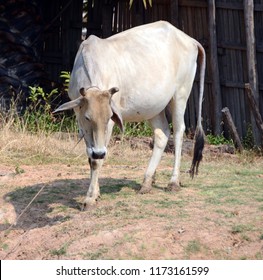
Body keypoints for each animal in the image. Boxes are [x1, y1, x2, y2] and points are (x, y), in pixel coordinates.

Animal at [53, 20, 206, 209]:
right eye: (88, 117)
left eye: (107, 118)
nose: (99, 152)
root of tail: (190, 40)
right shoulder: (80, 119)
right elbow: (91, 157)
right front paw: (96, 193)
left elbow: (97, 161)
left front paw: (89, 198)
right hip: (154, 107)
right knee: (162, 135)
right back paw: (147, 182)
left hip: (180, 95)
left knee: (178, 132)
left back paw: (173, 182)